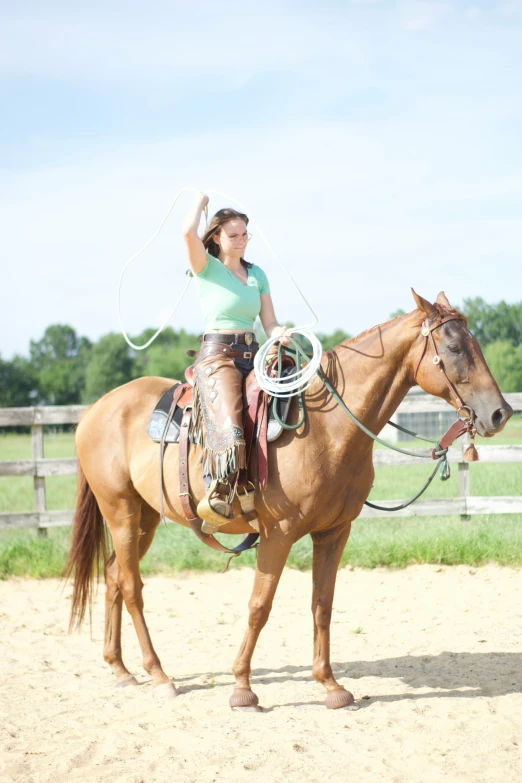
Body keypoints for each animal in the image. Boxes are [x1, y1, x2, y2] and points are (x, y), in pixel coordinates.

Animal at [65, 292, 508, 712]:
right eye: (454, 347)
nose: (500, 413)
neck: (329, 428)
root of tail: (97, 409)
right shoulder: (277, 533)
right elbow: (259, 606)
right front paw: (242, 688)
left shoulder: (334, 532)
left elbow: (322, 604)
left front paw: (330, 685)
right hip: (120, 511)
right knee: (131, 586)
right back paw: (158, 675)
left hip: (146, 517)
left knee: (113, 576)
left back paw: (121, 669)